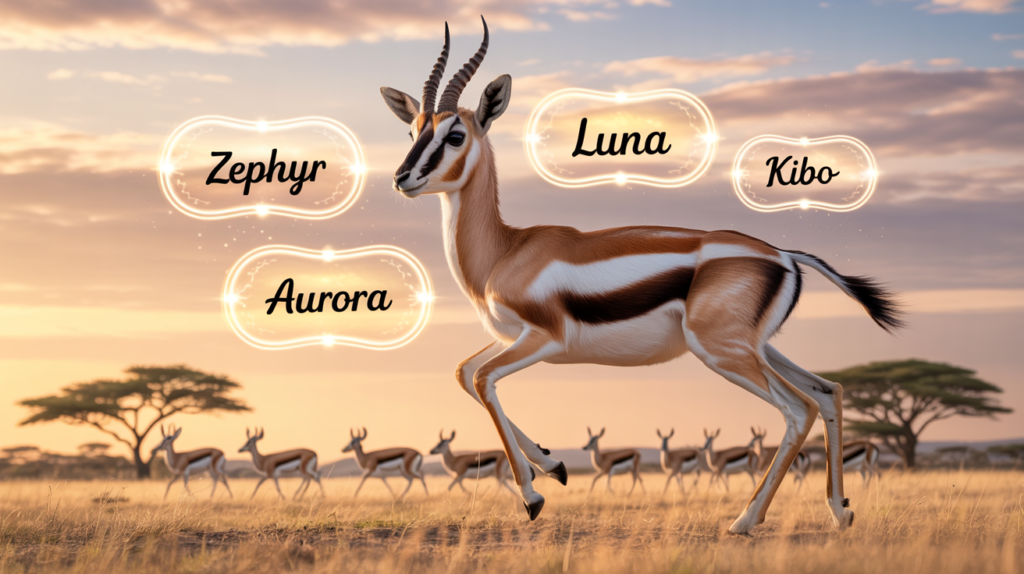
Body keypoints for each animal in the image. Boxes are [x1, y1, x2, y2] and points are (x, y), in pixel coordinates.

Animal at [380, 16, 901, 532]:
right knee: (828, 392)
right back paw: (840, 511)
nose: (402, 179)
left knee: (798, 409)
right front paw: (555, 464)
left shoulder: (543, 339)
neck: (506, 251)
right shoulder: (511, 336)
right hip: (758, 347)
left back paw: (745, 520)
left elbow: (484, 379)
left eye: (455, 135)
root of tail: (784, 255)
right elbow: (465, 372)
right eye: (413, 132)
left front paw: (534, 496)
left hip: (722, 352)